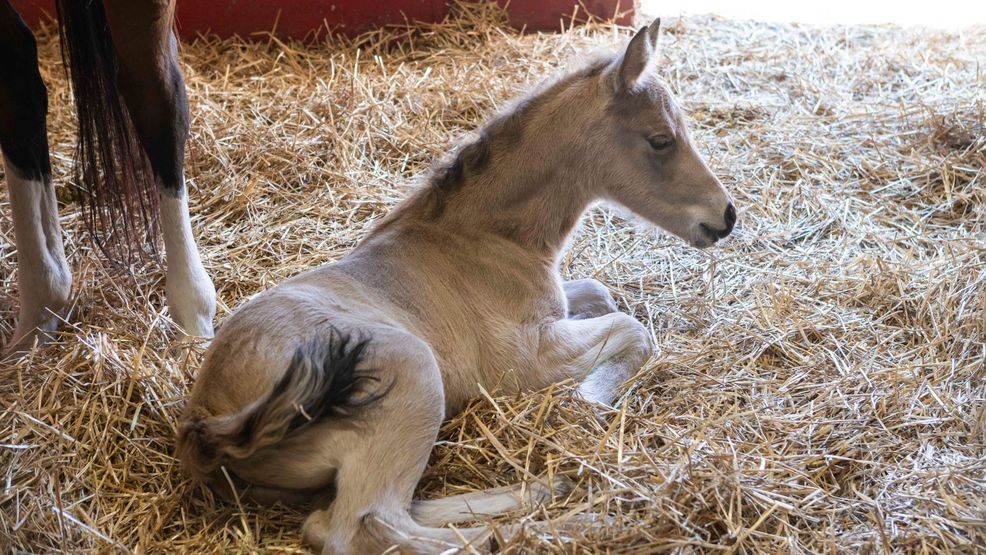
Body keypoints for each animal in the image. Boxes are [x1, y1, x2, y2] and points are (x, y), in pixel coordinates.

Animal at [177, 19, 736, 554]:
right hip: (414, 379)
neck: (484, 237)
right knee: (361, 528)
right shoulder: (526, 357)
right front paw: (589, 399)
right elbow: (632, 328)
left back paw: (547, 491)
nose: (726, 217)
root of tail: (209, 415)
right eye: (660, 139)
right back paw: (574, 525)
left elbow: (600, 293)